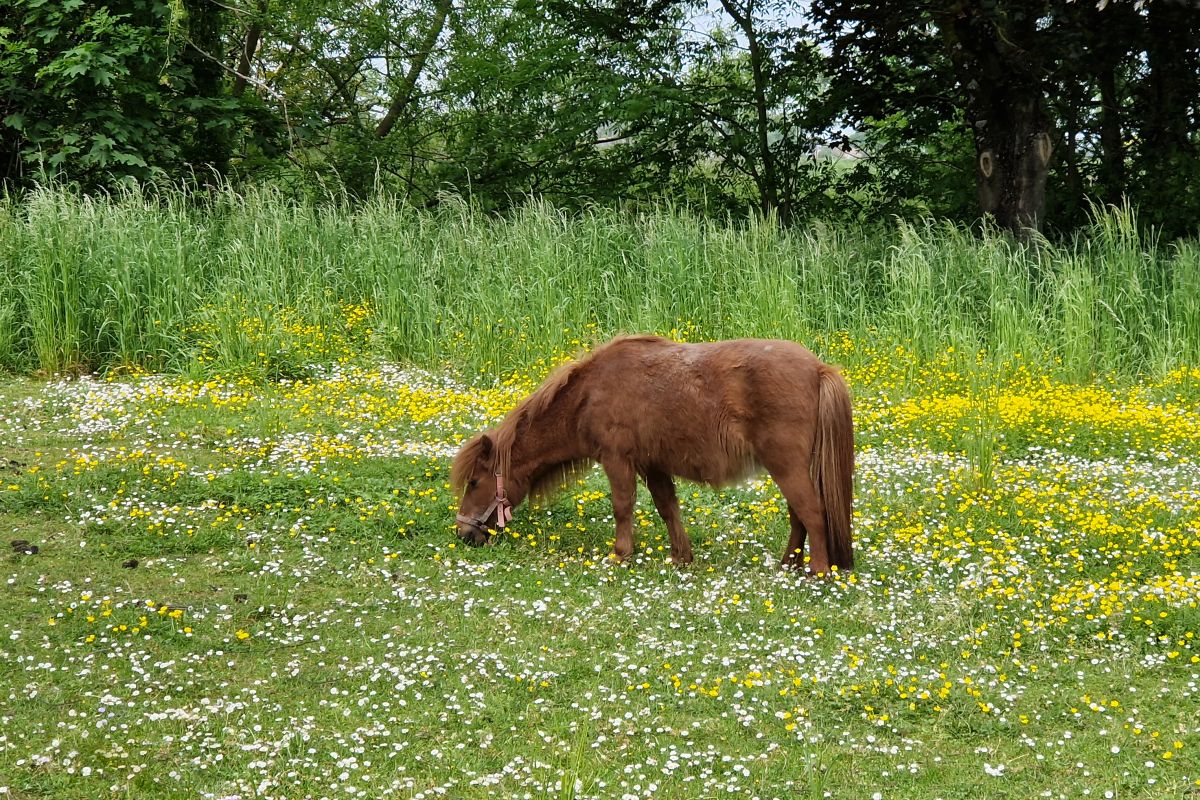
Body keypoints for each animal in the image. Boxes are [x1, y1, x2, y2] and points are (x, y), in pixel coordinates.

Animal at [451, 335, 854, 573]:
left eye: (474, 482)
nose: (464, 533)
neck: (588, 395)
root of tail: (819, 369)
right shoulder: (653, 465)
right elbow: (667, 508)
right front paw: (681, 557)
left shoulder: (618, 460)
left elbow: (622, 506)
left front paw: (620, 554)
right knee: (799, 517)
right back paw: (789, 565)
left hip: (786, 465)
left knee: (812, 513)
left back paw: (818, 572)